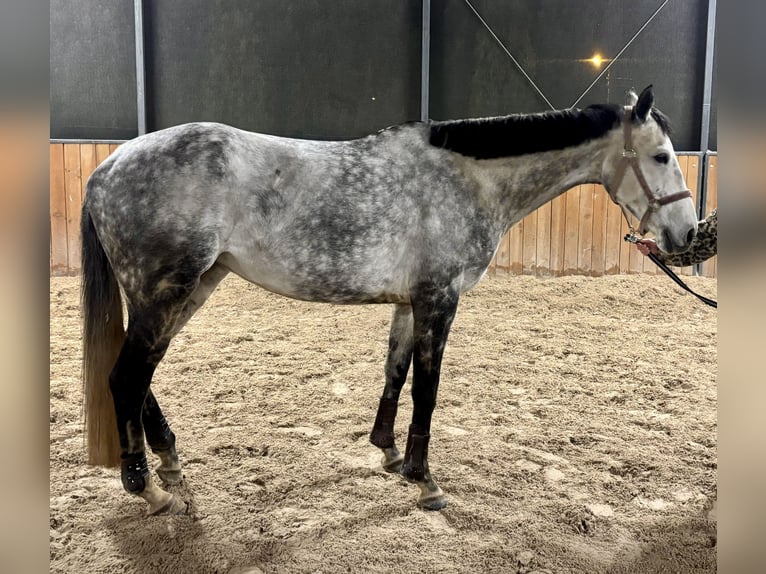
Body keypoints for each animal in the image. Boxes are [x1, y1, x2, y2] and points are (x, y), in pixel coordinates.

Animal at [81, 85, 697, 515]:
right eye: (662, 156)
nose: (687, 234)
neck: (467, 181)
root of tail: (106, 168)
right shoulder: (439, 299)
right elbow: (427, 389)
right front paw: (425, 481)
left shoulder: (408, 303)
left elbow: (395, 375)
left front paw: (388, 451)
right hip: (167, 292)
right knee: (127, 377)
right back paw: (149, 491)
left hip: (187, 289)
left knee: (141, 376)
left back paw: (170, 466)